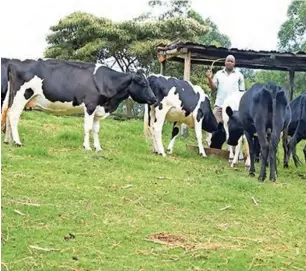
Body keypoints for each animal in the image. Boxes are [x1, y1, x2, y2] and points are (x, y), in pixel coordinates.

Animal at [1, 58, 157, 150]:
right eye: (144, 84)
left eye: (150, 83)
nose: (155, 99)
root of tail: (15, 63)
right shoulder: (90, 105)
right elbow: (88, 127)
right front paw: (87, 147)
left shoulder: (98, 109)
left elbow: (96, 130)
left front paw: (98, 148)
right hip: (22, 96)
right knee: (13, 115)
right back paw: (17, 142)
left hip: (12, 97)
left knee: (8, 114)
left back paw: (8, 140)